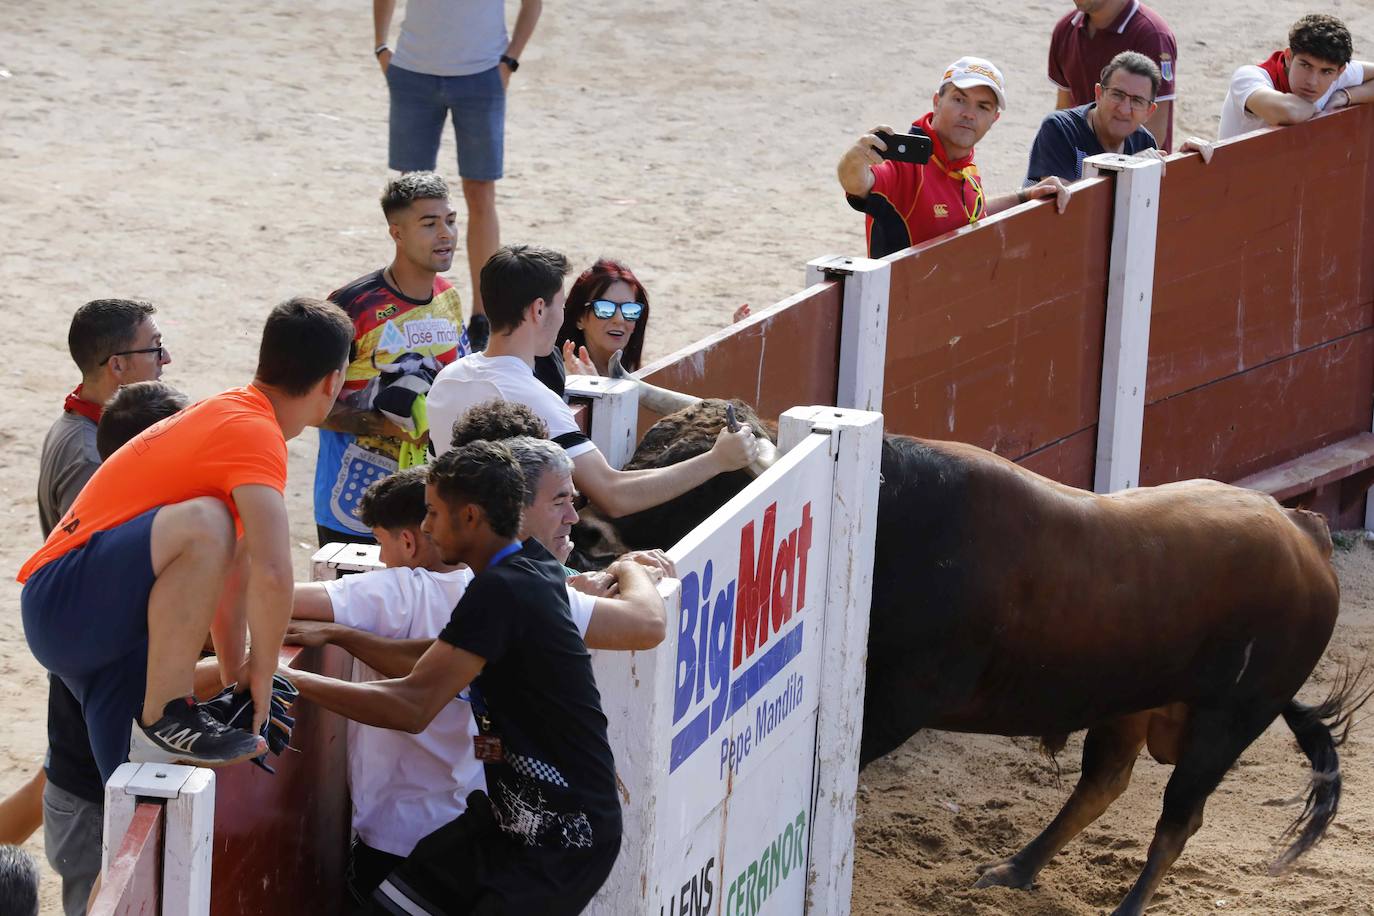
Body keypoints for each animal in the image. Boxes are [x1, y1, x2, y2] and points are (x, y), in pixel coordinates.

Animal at [577, 390, 1363, 916]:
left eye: (693, 472)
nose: (585, 531)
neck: (890, 519)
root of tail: (1304, 534)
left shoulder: (893, 705)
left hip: (1229, 720)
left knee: (1176, 822)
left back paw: (1120, 907)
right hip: (1129, 703)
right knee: (1103, 783)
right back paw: (1013, 871)